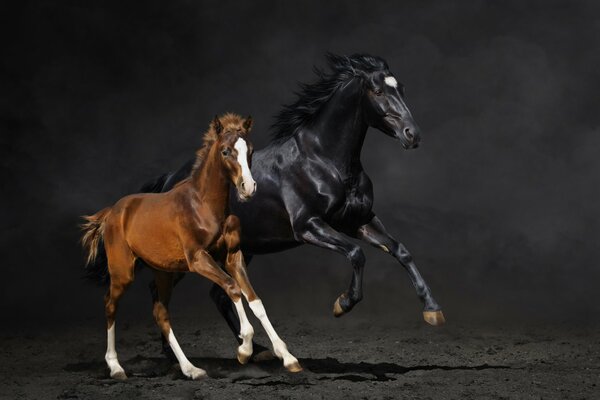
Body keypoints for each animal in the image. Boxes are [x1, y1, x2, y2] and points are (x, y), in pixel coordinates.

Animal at [82, 114, 302, 380]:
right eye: (225, 151)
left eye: (249, 150)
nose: (248, 188)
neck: (204, 205)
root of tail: (112, 211)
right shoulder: (198, 259)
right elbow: (232, 288)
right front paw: (244, 349)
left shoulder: (233, 257)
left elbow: (254, 299)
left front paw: (287, 357)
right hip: (123, 271)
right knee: (110, 305)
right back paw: (115, 367)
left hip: (163, 272)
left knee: (160, 313)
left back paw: (191, 369)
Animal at [139, 54, 440, 356]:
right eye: (378, 91)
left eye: (401, 89)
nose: (412, 134)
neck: (324, 160)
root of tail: (170, 179)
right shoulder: (308, 226)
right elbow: (356, 254)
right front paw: (342, 304)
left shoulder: (358, 221)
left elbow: (401, 251)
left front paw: (432, 310)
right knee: (158, 290)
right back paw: (171, 352)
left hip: (240, 249)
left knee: (218, 294)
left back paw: (253, 350)